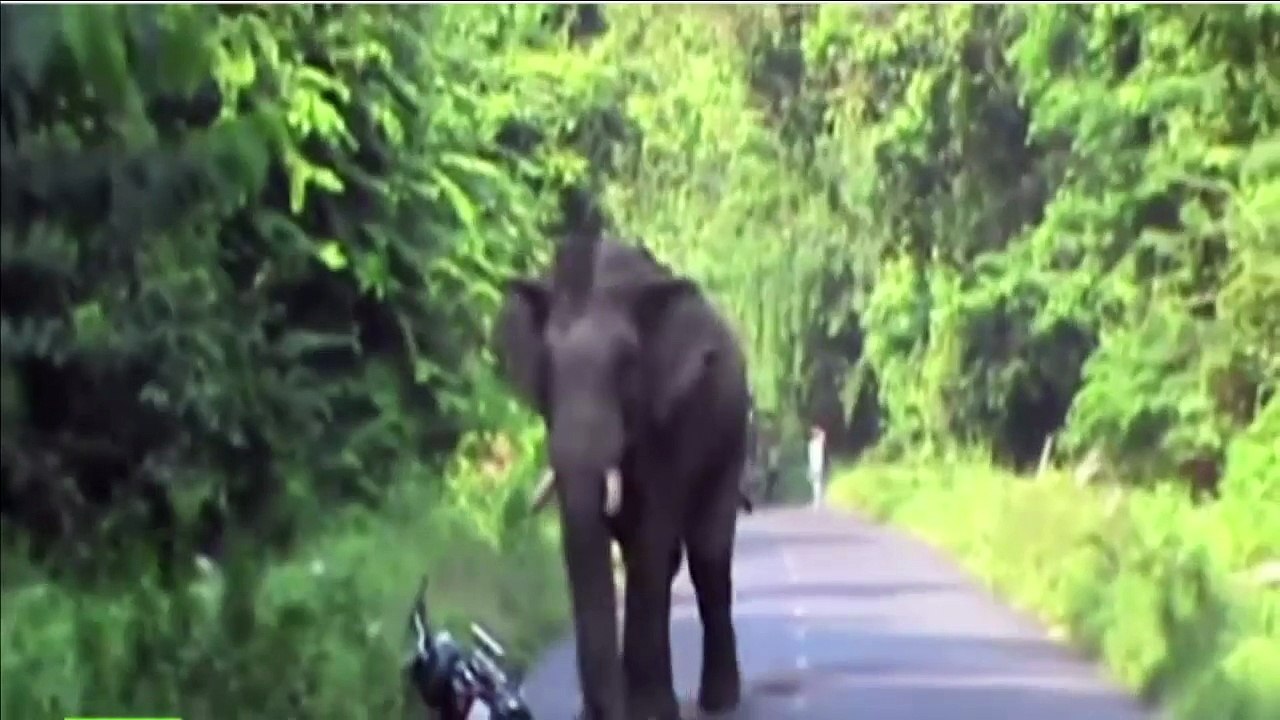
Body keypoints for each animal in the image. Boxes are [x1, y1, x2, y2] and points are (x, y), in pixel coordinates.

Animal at [494, 230, 748, 720]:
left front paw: (649, 713)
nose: (596, 713)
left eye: (628, 364)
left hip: (733, 438)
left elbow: (650, 539)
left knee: (707, 556)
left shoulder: (670, 421)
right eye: (546, 368)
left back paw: (720, 701)